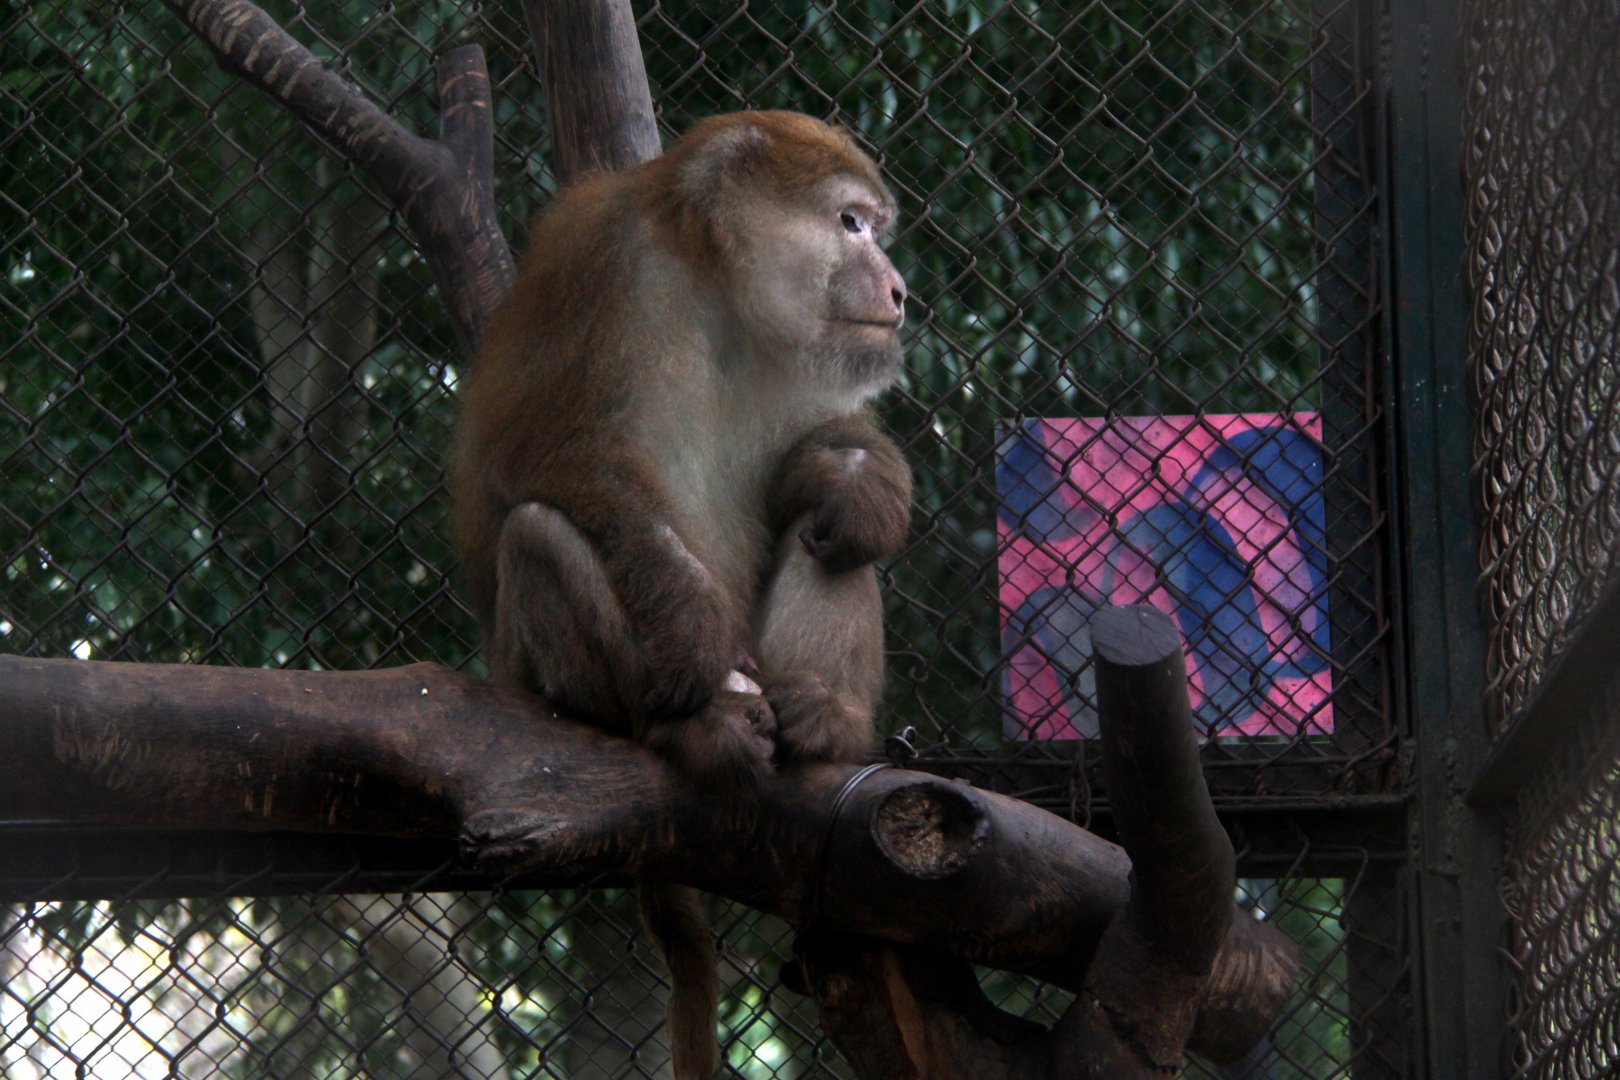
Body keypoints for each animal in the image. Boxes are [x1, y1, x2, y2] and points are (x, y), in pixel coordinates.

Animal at [450, 111, 912, 1078]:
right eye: (850, 223)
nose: (897, 289)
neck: (720, 291)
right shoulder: (603, 259)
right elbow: (534, 449)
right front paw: (691, 626)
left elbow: (819, 464)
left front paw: (862, 484)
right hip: (547, 680)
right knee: (540, 534)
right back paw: (683, 725)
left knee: (827, 539)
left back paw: (823, 721)